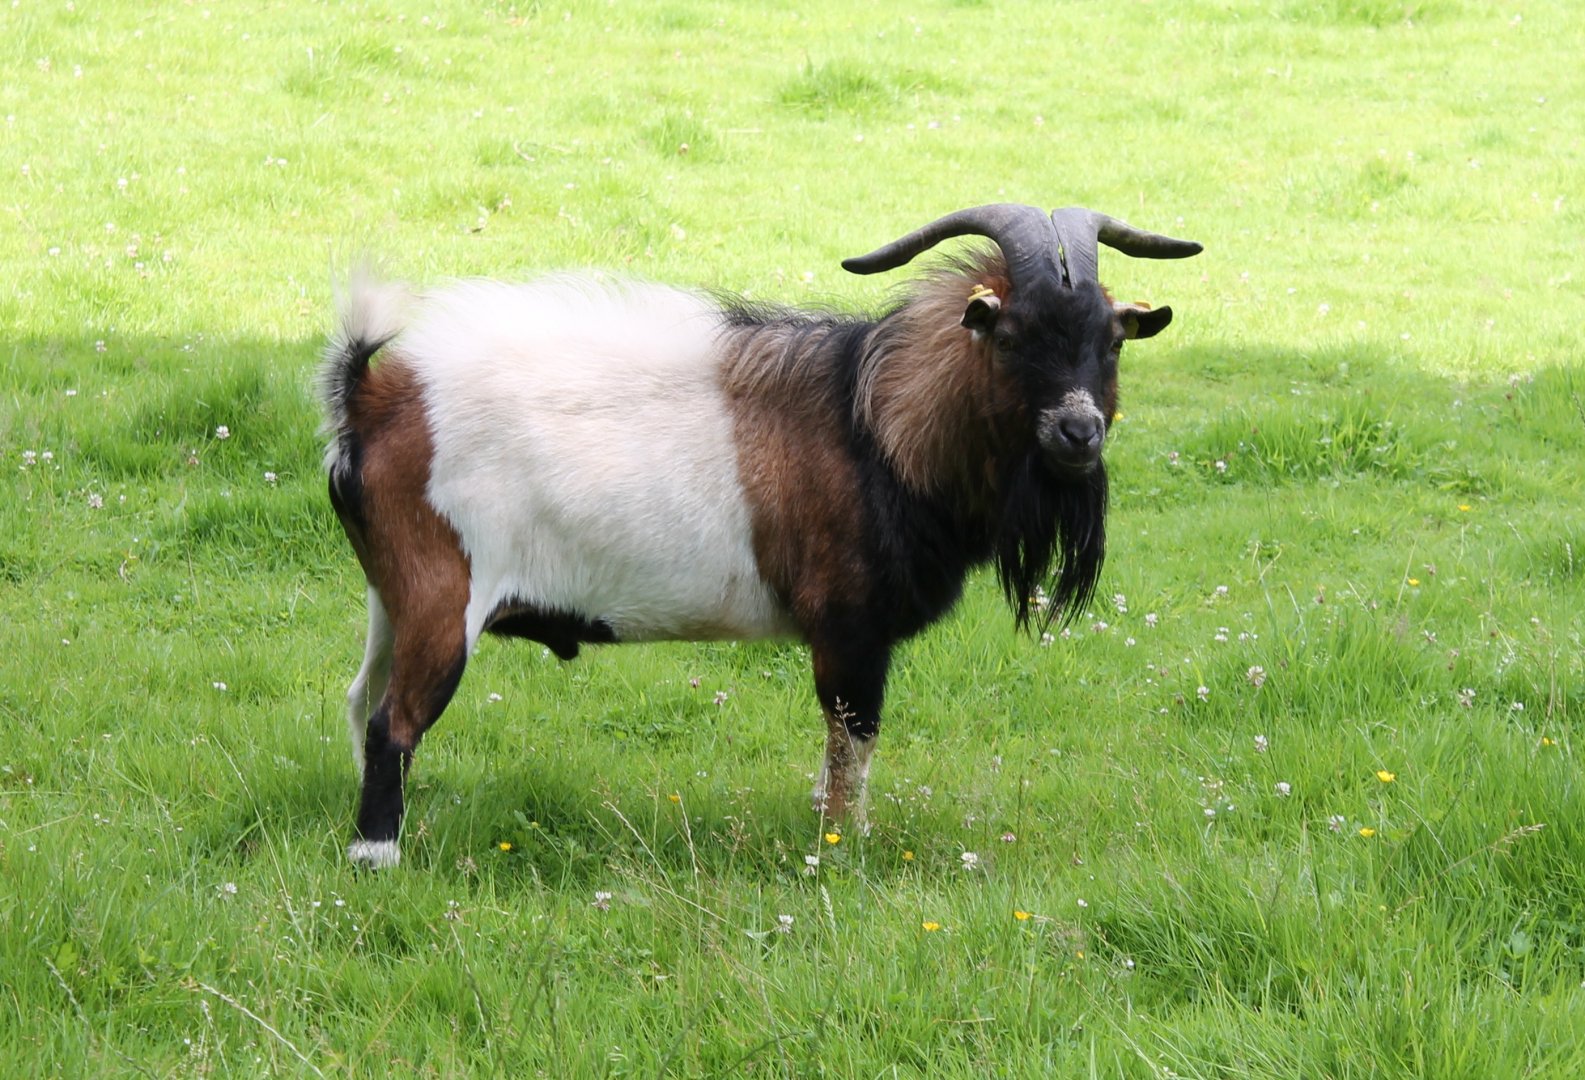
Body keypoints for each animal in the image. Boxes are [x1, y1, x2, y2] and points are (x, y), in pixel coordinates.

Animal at [321, 203, 1201, 868]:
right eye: (1011, 334)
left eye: (1110, 340)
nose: (1078, 432)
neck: (875, 428)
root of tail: (371, 402)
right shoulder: (848, 630)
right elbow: (851, 743)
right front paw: (842, 848)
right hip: (444, 600)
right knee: (393, 722)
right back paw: (376, 857)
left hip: (390, 601)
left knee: (360, 700)